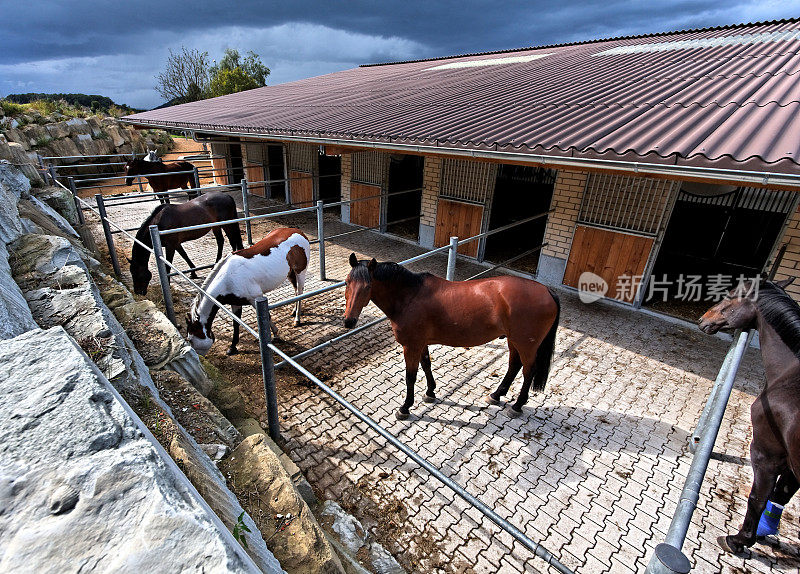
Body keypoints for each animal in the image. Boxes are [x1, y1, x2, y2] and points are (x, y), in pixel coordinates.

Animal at [187, 228, 310, 356]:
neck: (228, 277)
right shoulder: (235, 302)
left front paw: (276, 335)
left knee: (300, 292)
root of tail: (299, 232)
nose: (197, 357)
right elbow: (236, 323)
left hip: (300, 272)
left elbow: (268, 316)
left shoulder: (255, 298)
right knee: (296, 291)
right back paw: (294, 311)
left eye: (191, 340)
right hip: (290, 273)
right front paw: (232, 347)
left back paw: (297, 320)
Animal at [344, 254, 564, 420]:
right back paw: (496, 395)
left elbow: (410, 376)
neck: (410, 296)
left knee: (528, 371)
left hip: (526, 345)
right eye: (347, 282)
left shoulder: (411, 346)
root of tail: (547, 291)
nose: (349, 321)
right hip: (513, 341)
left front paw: (405, 407)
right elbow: (426, 365)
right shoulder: (421, 343)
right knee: (514, 366)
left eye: (367, 287)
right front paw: (430, 392)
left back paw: (517, 406)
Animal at [700, 276, 800, 556]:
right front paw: (761, 533)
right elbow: (780, 494)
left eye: (731, 294)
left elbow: (758, 497)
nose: (703, 318)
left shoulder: (766, 453)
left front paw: (738, 539)